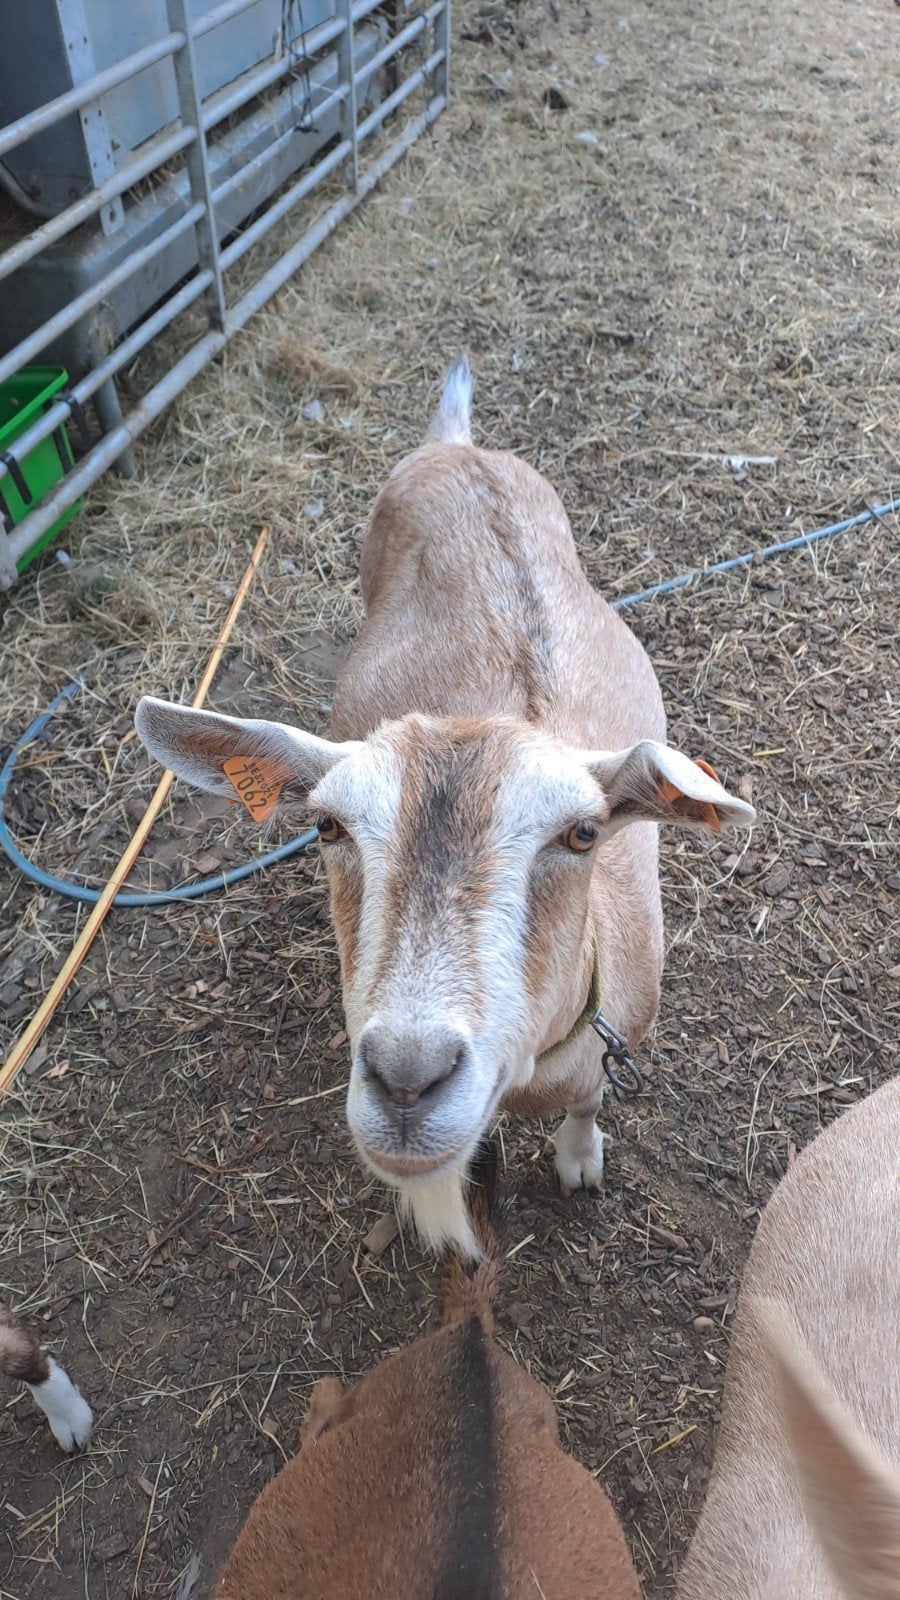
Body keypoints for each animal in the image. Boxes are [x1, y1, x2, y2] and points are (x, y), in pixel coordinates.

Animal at [135, 357, 754, 1255]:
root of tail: (454, 446)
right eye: (326, 825)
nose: (406, 1080)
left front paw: (579, 1160)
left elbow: (589, 1101)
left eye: (583, 833)